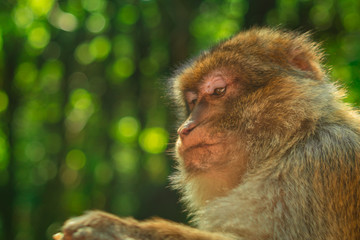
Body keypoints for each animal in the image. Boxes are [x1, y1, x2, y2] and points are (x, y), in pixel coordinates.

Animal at [54, 28, 360, 240]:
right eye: (192, 101)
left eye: (218, 90)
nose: (185, 128)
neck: (287, 143)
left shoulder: (322, 163)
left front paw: (119, 229)